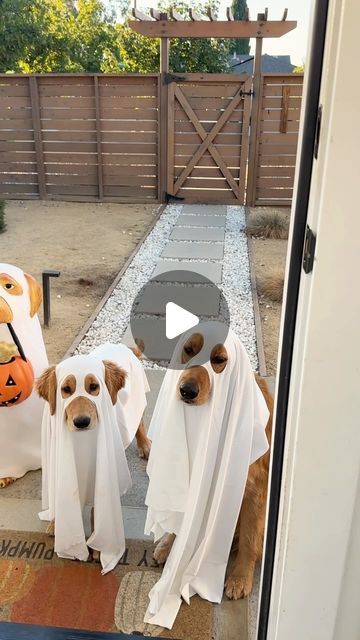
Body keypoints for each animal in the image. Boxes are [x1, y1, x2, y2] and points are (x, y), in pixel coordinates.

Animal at [152, 332, 272, 604]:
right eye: (188, 350)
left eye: (218, 360)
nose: (187, 391)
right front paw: (171, 545)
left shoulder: (254, 490)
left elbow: (249, 538)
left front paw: (240, 577)